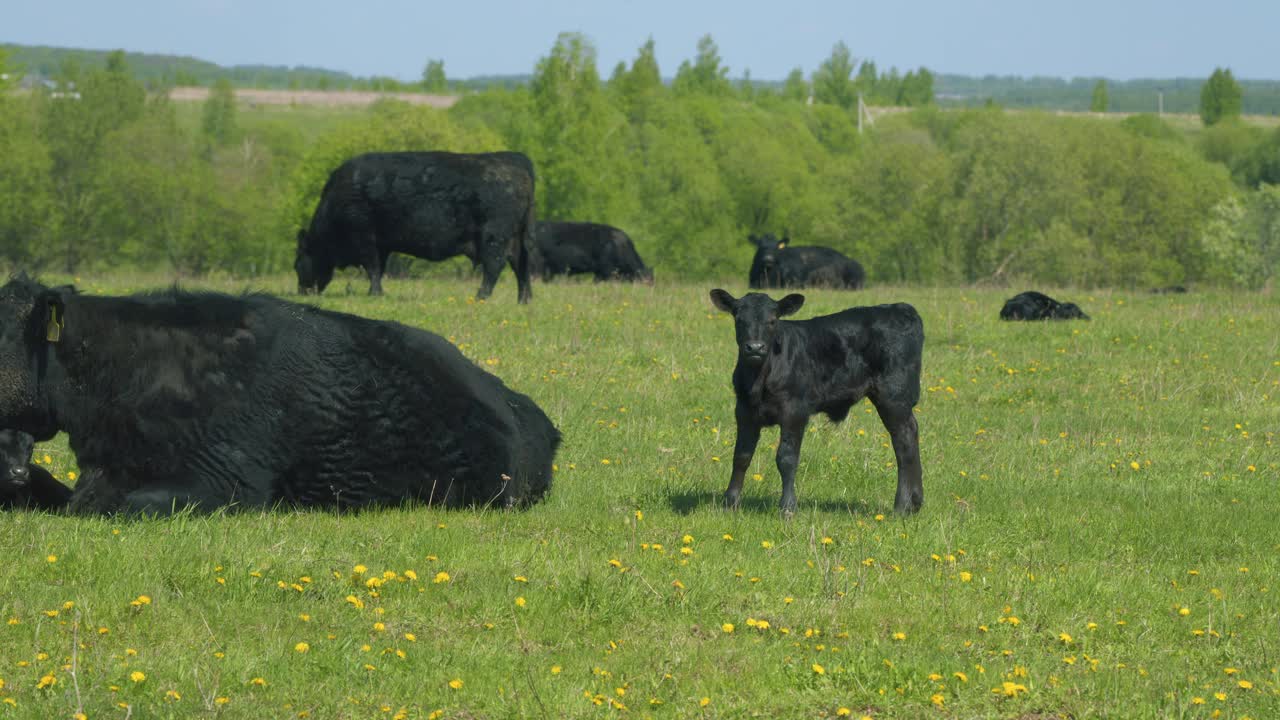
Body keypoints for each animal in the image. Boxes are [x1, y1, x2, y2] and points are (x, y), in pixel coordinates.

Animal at [294, 151, 535, 302]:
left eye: (297, 264)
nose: (302, 292)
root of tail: (513, 158)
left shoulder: (365, 239)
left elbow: (372, 268)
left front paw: (374, 294)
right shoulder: (381, 245)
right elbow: (378, 269)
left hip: (494, 237)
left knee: (495, 266)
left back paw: (480, 297)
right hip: (516, 238)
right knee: (521, 265)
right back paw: (524, 300)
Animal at [706, 288, 926, 512]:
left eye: (773, 320)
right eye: (739, 319)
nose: (755, 347)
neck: (759, 380)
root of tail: (899, 307)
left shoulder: (795, 412)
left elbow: (786, 458)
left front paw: (788, 507)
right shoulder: (744, 412)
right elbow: (741, 456)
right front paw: (730, 503)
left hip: (894, 396)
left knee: (904, 439)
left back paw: (902, 505)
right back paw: (914, 503)